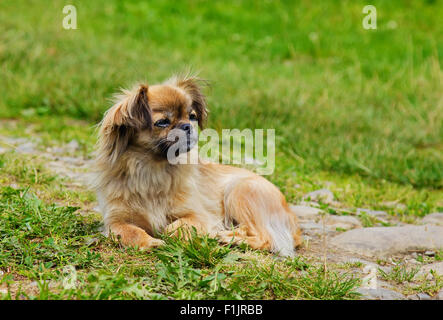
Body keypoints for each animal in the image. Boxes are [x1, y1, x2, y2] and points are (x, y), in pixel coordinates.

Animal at [90, 74, 302, 256]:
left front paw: (170, 233)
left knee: (265, 238)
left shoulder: (198, 215)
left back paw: (229, 238)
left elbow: (178, 225)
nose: (187, 126)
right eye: (162, 122)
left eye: (191, 116)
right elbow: (130, 231)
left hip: (240, 191)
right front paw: (151, 242)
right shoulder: (115, 221)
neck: (152, 169)